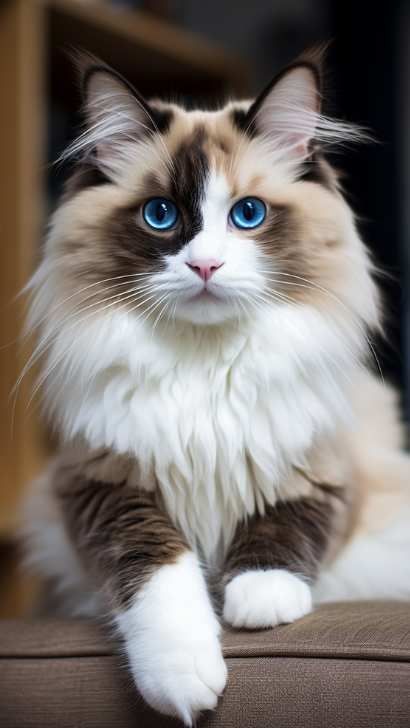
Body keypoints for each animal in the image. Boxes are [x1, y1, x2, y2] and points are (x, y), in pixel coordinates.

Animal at [23, 49, 410, 724]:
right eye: (160, 215)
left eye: (247, 214)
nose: (205, 266)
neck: (205, 369)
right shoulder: (103, 483)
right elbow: (159, 573)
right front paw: (183, 679)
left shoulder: (324, 469)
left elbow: (284, 525)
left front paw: (258, 601)